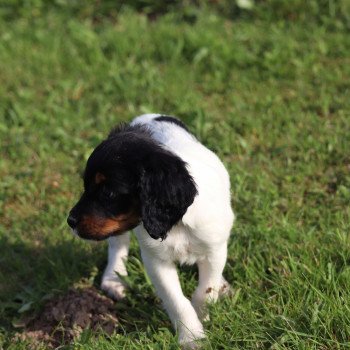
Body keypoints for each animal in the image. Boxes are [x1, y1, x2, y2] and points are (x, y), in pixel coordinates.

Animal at [67, 114, 234, 348]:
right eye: (85, 187)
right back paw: (114, 279)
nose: (70, 221)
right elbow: (177, 301)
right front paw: (192, 337)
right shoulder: (157, 260)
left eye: (108, 193)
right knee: (118, 244)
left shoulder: (214, 249)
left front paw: (202, 318)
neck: (177, 224)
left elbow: (205, 291)